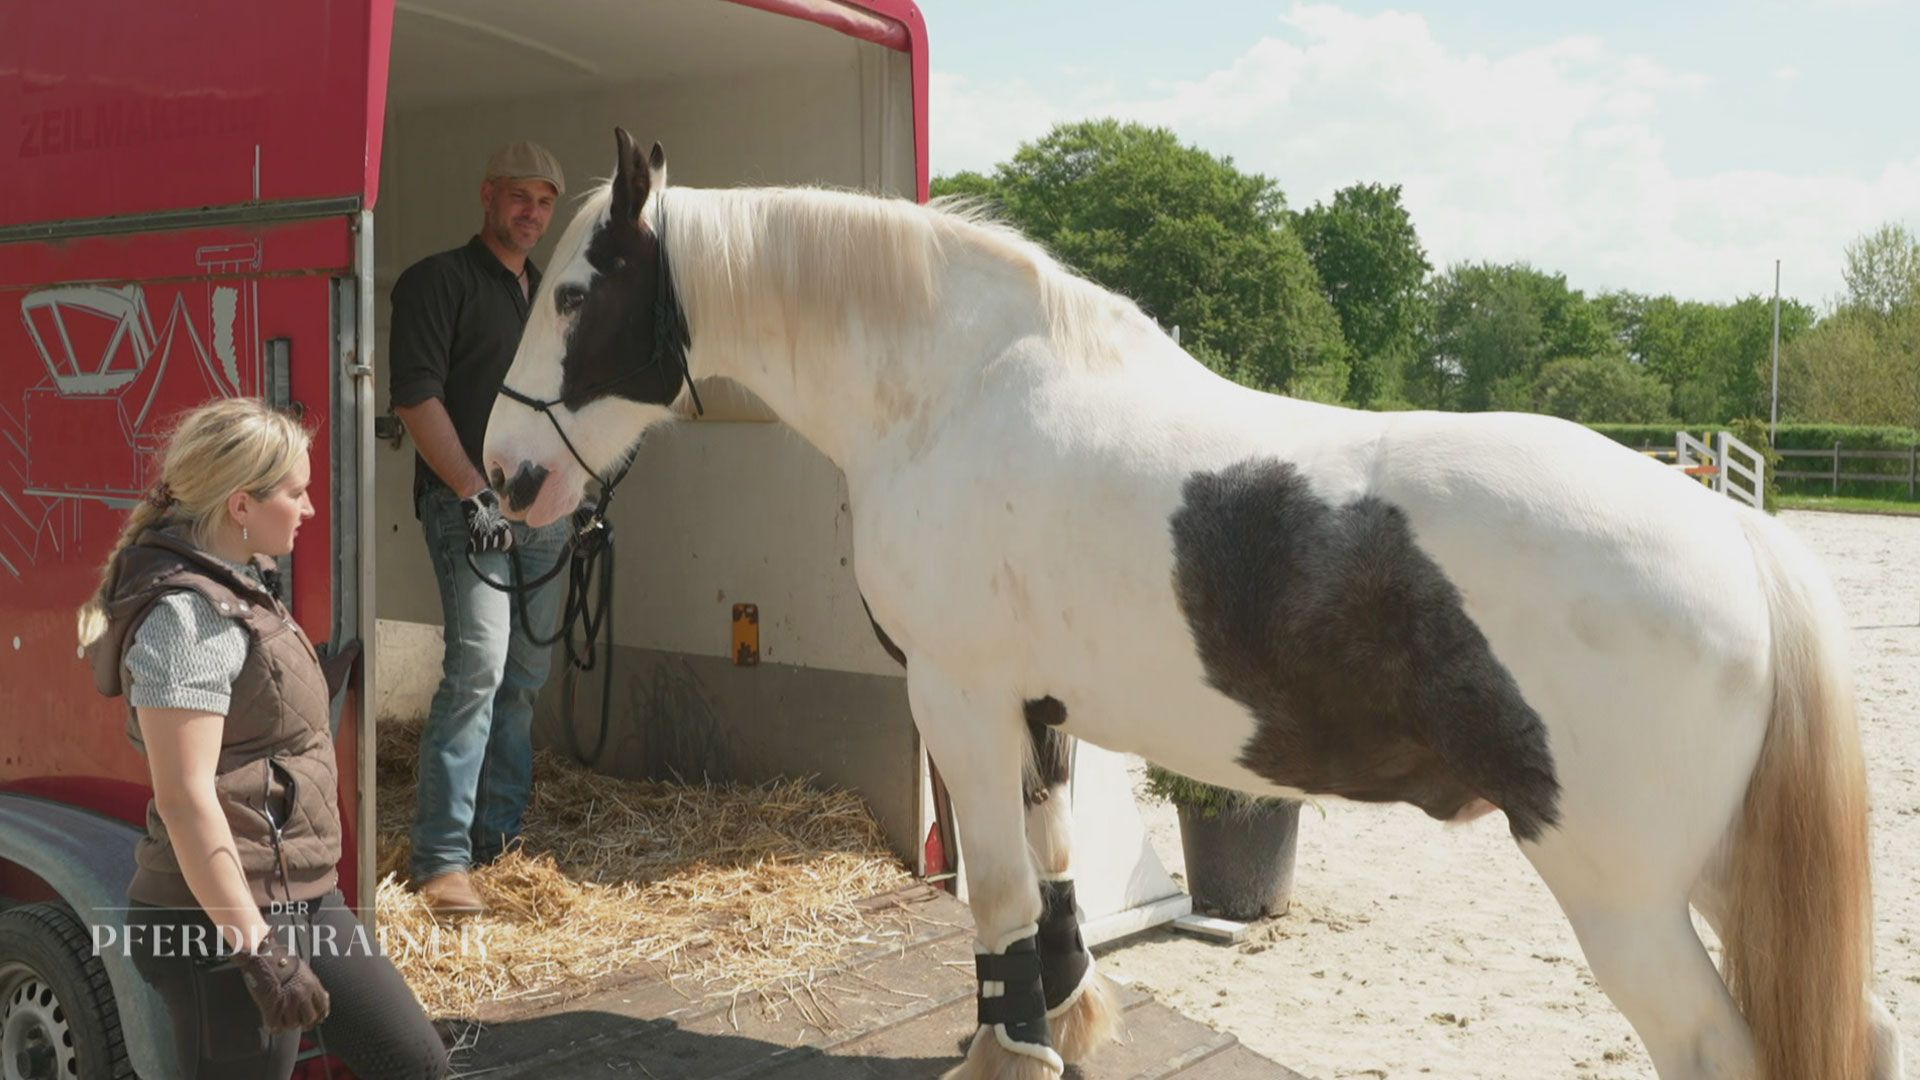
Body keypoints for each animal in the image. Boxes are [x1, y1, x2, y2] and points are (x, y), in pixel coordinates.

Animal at [483, 132, 1904, 1076]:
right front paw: (1062, 1026)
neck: (952, 392)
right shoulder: (1035, 708)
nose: (507, 474)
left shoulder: (958, 696)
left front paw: (1006, 1053)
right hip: (1721, 869)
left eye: (574, 293)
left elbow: (998, 898)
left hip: (1624, 896)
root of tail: (1736, 536)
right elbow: (1054, 888)